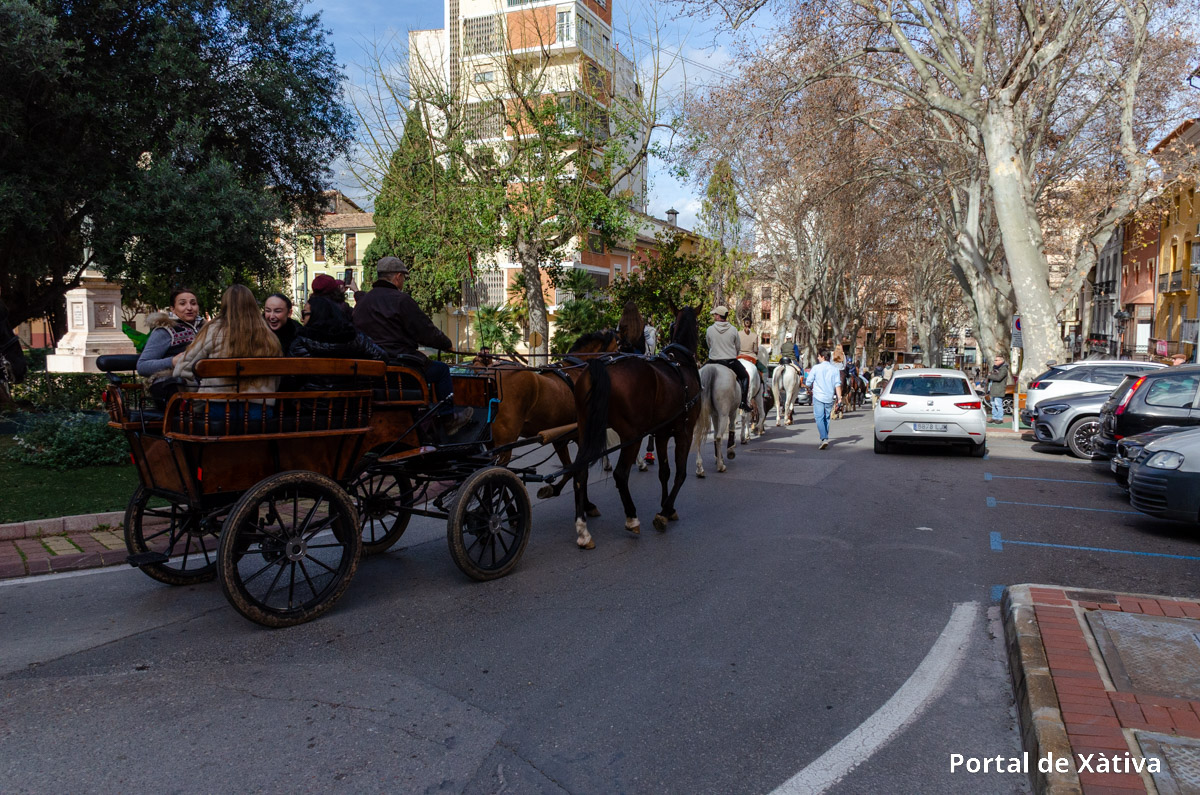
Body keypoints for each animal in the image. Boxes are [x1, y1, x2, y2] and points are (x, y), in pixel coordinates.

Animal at [570, 307, 702, 549]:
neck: (680, 362)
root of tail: (600, 366)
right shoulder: (684, 432)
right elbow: (680, 473)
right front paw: (664, 512)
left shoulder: (661, 433)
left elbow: (664, 472)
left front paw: (667, 507)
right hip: (632, 435)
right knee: (621, 474)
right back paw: (631, 518)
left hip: (586, 431)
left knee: (580, 472)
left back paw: (583, 530)